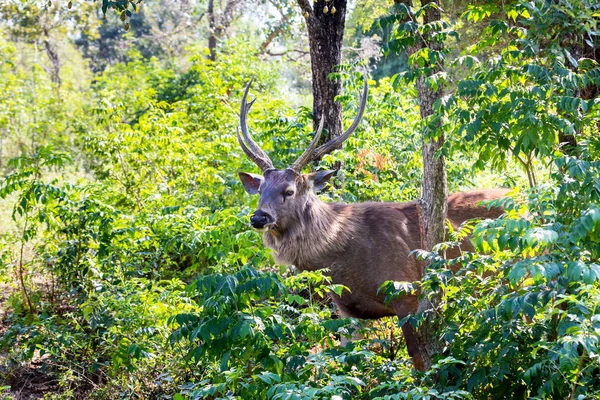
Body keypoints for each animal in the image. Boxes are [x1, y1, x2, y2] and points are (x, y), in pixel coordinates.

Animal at [237, 79, 508, 370]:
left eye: (288, 191)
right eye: (260, 189)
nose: (259, 217)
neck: (344, 256)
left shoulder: (407, 291)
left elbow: (419, 360)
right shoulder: (346, 308)